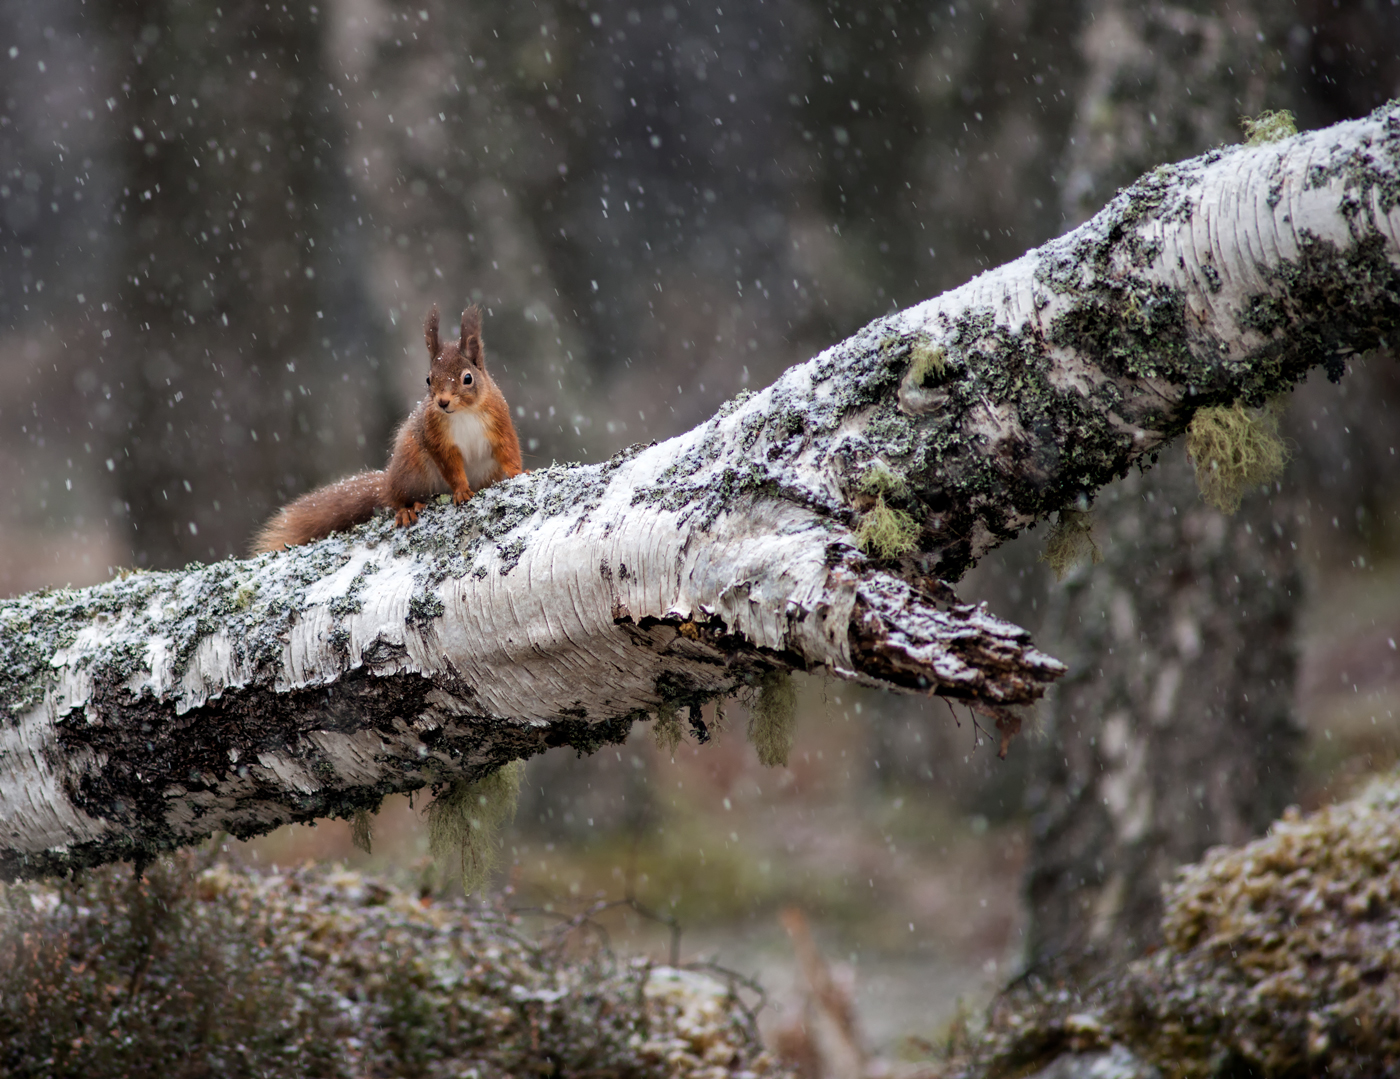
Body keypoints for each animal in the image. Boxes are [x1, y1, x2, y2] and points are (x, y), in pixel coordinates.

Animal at [249, 306, 523, 554]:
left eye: (468, 378)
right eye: (428, 379)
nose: (442, 402)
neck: (463, 413)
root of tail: (388, 481)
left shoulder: (499, 421)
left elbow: (508, 449)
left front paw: (518, 472)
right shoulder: (435, 436)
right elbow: (450, 466)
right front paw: (461, 491)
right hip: (410, 467)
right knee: (395, 499)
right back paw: (406, 510)